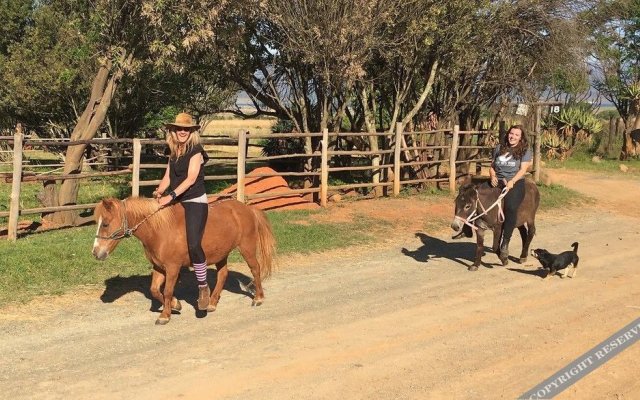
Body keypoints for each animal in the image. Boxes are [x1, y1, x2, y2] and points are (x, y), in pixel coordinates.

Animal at [92, 197, 276, 324]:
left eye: (106, 224)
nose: (95, 253)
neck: (160, 230)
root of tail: (248, 209)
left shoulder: (173, 267)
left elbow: (167, 291)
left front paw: (165, 315)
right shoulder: (159, 267)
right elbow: (154, 290)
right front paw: (175, 305)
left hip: (247, 248)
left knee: (255, 269)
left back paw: (258, 298)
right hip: (221, 254)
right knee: (223, 274)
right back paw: (211, 303)